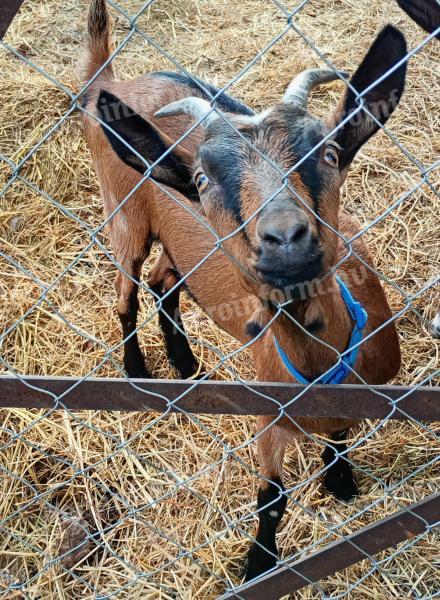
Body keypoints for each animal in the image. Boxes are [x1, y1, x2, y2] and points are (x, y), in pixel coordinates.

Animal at [80, 0, 406, 580]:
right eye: (203, 180)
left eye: (328, 154)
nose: (285, 238)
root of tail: (113, 82)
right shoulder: (267, 410)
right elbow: (272, 497)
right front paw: (258, 563)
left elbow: (339, 436)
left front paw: (340, 480)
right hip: (124, 217)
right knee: (126, 293)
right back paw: (138, 371)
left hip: (178, 246)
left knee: (165, 282)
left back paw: (184, 363)